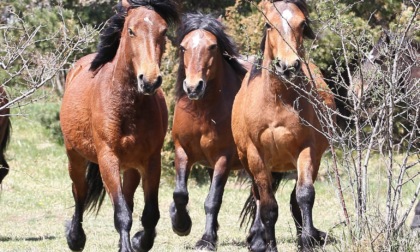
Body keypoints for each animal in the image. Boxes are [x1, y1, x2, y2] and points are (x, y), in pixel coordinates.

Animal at [60, 0, 177, 251]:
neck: (127, 106)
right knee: (79, 192)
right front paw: (127, 245)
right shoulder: (108, 159)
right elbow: (121, 213)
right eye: (131, 31)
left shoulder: (150, 161)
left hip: (131, 167)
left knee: (129, 199)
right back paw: (75, 238)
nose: (149, 80)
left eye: (163, 31)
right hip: (74, 155)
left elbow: (149, 213)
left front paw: (139, 241)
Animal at [169, 12, 248, 250]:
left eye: (213, 46)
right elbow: (180, 194)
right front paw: (181, 224)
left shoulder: (223, 158)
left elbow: (213, 200)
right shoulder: (182, 151)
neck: (203, 111)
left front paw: (206, 240)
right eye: (183, 47)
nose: (194, 87)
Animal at [231, 0, 336, 251]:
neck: (277, 101)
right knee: (258, 196)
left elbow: (304, 195)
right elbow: (268, 206)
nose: (287, 66)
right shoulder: (256, 156)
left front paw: (307, 240)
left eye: (303, 24)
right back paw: (258, 238)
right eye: (269, 24)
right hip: (249, 162)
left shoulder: (307, 150)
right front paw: (268, 244)